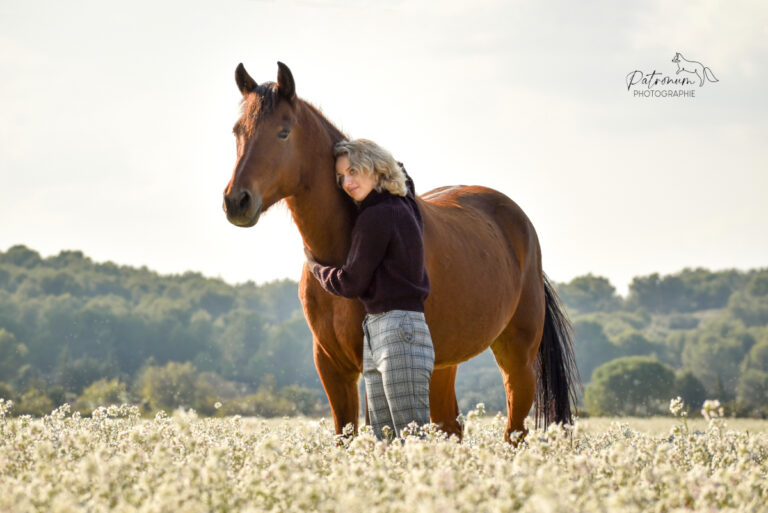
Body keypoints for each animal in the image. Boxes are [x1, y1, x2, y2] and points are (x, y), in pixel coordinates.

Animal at [219, 63, 580, 440]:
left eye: (283, 132)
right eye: (237, 131)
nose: (236, 200)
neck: (342, 250)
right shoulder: (332, 367)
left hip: (517, 360)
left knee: (514, 433)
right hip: (443, 364)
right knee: (450, 427)